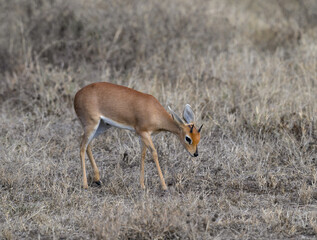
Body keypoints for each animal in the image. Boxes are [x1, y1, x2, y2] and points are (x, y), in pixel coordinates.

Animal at [73, 81, 202, 190]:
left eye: (198, 138)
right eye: (188, 138)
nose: (195, 154)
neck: (154, 111)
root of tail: (77, 94)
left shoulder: (144, 135)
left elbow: (142, 155)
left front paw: (142, 185)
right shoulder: (144, 133)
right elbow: (154, 153)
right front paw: (164, 186)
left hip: (103, 126)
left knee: (88, 145)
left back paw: (97, 179)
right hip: (91, 125)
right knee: (82, 147)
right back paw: (85, 185)